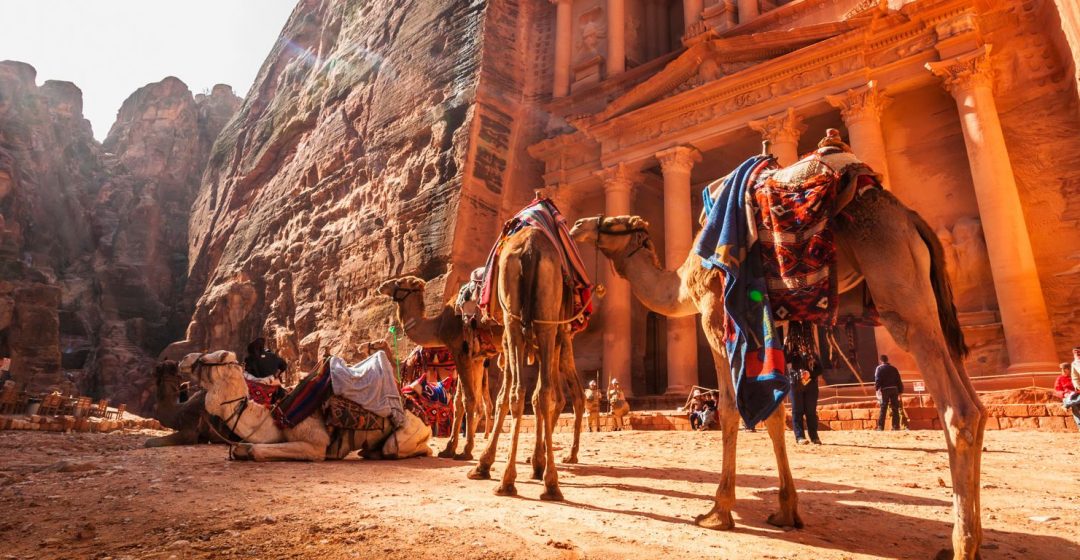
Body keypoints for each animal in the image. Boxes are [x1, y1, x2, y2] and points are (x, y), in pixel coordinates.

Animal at [179, 353, 427, 461]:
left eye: (206, 359)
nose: (184, 359)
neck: (275, 416)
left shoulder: (315, 445)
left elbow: (257, 450)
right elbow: (245, 447)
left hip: (406, 434)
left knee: (401, 448)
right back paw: (369, 451)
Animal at [574, 173, 989, 556]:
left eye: (615, 223)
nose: (579, 224)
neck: (682, 281)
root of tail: (912, 220)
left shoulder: (715, 314)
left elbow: (729, 408)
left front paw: (718, 511)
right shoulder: (765, 326)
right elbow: (775, 412)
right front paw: (787, 510)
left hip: (898, 286)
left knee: (958, 410)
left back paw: (962, 546)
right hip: (930, 297)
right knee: (978, 406)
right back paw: (973, 540)